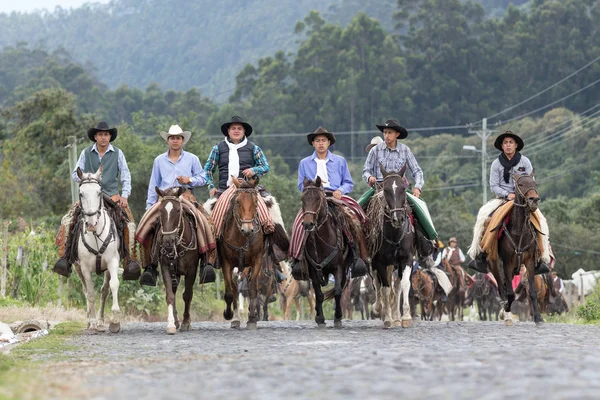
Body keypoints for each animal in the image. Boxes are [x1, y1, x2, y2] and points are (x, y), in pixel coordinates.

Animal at [74, 164, 122, 332]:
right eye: (81, 193)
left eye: (99, 192)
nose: (91, 224)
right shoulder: (85, 268)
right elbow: (90, 293)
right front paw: (93, 322)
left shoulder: (113, 261)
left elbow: (113, 285)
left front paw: (115, 320)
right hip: (77, 268)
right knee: (85, 290)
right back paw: (90, 320)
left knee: (104, 290)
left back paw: (101, 321)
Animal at [152, 188, 202, 334]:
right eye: (160, 210)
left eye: (178, 210)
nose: (168, 241)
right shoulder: (165, 267)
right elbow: (170, 295)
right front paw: (171, 324)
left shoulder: (192, 269)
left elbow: (187, 295)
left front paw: (186, 322)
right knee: (173, 291)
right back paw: (175, 320)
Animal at [219, 177, 264, 330]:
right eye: (237, 201)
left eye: (255, 201)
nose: (247, 229)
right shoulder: (226, 263)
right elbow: (229, 291)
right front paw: (229, 315)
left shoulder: (256, 261)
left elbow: (252, 289)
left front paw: (252, 319)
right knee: (234, 289)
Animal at [298, 177, 352, 326]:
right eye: (303, 198)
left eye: (318, 198)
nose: (308, 224)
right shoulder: (313, 270)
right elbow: (319, 294)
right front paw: (320, 318)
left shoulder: (339, 267)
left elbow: (338, 291)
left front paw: (338, 316)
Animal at [490, 172, 548, 324]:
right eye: (521, 184)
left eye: (534, 184)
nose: (534, 200)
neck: (519, 230)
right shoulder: (507, 262)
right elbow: (510, 293)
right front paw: (506, 309)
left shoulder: (529, 262)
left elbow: (532, 293)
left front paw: (538, 317)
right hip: (495, 263)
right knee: (501, 286)